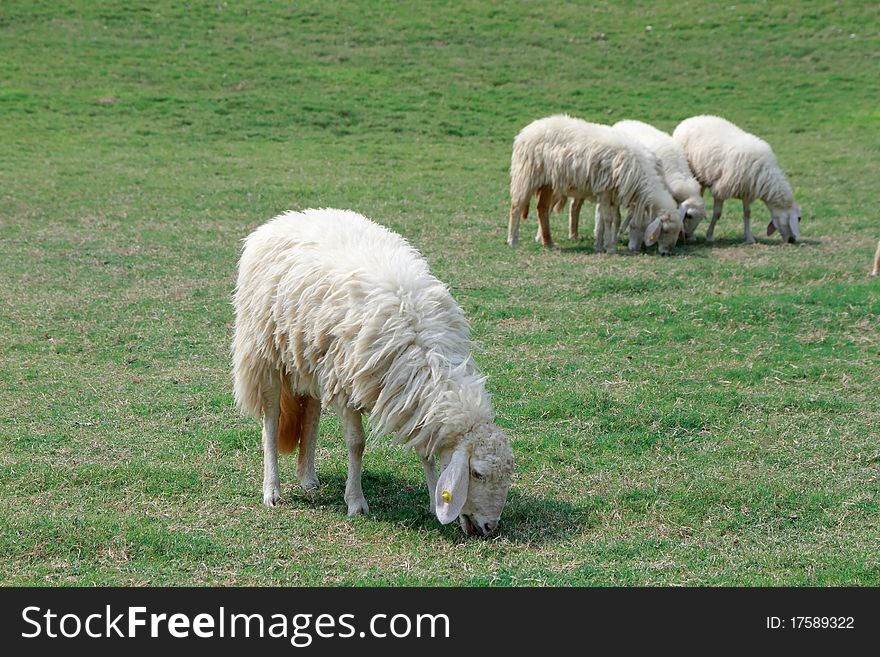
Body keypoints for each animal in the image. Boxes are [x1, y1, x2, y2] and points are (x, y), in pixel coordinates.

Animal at [232, 208, 516, 536]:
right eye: (477, 473)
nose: (489, 527)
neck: (424, 351)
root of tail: (283, 219)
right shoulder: (346, 384)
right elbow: (357, 444)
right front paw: (356, 503)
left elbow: (425, 452)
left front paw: (433, 500)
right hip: (266, 353)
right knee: (272, 420)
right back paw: (272, 490)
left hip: (309, 355)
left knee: (311, 410)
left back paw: (308, 477)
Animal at [508, 114, 688, 255]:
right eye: (665, 230)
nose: (666, 253)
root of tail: (528, 129)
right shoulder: (605, 190)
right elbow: (607, 219)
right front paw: (610, 247)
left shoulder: (608, 194)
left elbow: (605, 219)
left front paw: (599, 245)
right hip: (527, 175)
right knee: (517, 206)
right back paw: (513, 241)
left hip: (548, 182)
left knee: (543, 209)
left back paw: (548, 242)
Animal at [672, 114, 800, 243]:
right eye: (799, 218)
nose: (792, 240)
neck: (765, 175)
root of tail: (691, 119)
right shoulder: (721, 189)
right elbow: (717, 214)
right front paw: (710, 236)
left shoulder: (747, 191)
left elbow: (747, 214)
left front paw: (749, 237)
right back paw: (692, 235)